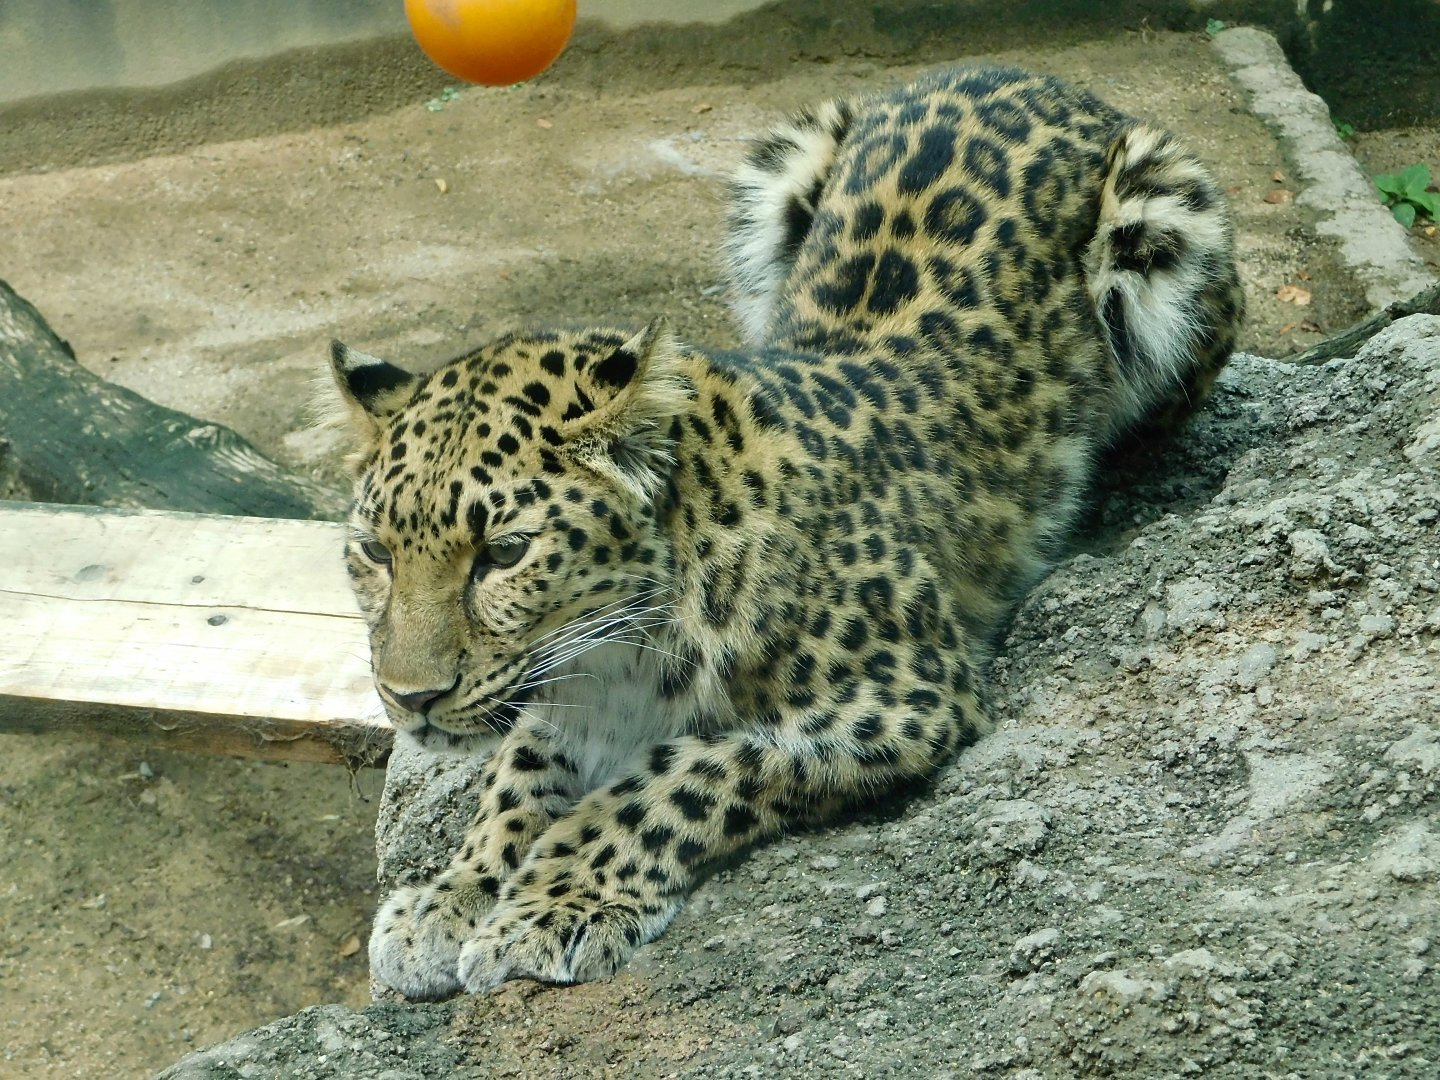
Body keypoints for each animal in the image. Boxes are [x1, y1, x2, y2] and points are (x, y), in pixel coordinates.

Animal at [327, 64, 1243, 999]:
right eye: (374, 553)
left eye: (504, 553)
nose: (407, 698)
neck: (614, 661)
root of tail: (1032, 74)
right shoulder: (558, 701)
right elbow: (513, 777)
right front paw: (449, 895)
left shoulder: (907, 694)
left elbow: (678, 775)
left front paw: (553, 903)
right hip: (781, 169)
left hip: (1161, 213)